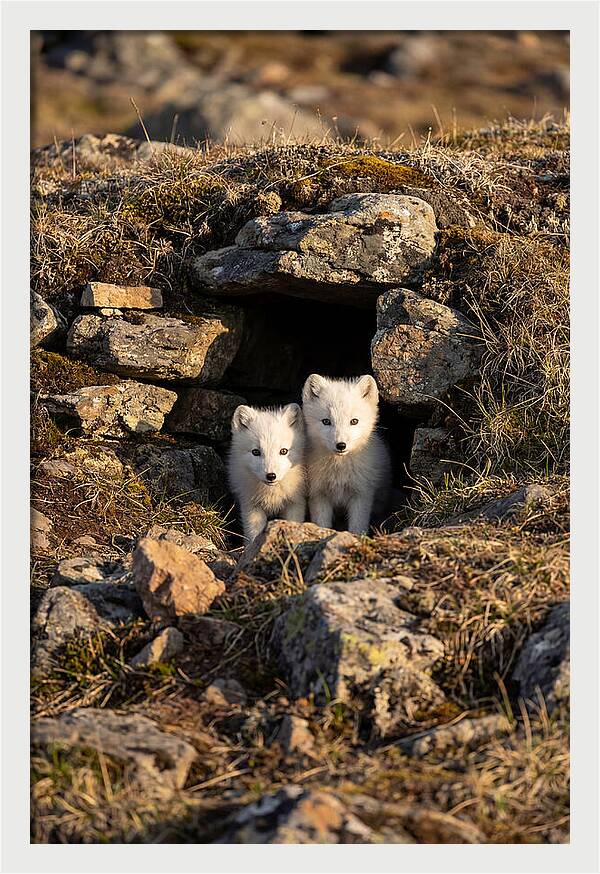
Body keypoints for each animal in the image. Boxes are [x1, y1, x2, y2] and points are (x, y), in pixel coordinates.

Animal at [228, 403, 306, 542]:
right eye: (256, 452)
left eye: (284, 451)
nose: (271, 476)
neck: (271, 493)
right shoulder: (251, 506)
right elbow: (253, 535)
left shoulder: (296, 503)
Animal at [301, 374, 392, 534]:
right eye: (326, 421)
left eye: (354, 421)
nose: (341, 445)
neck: (339, 470)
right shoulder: (318, 494)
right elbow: (322, 523)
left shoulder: (362, 494)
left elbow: (357, 527)